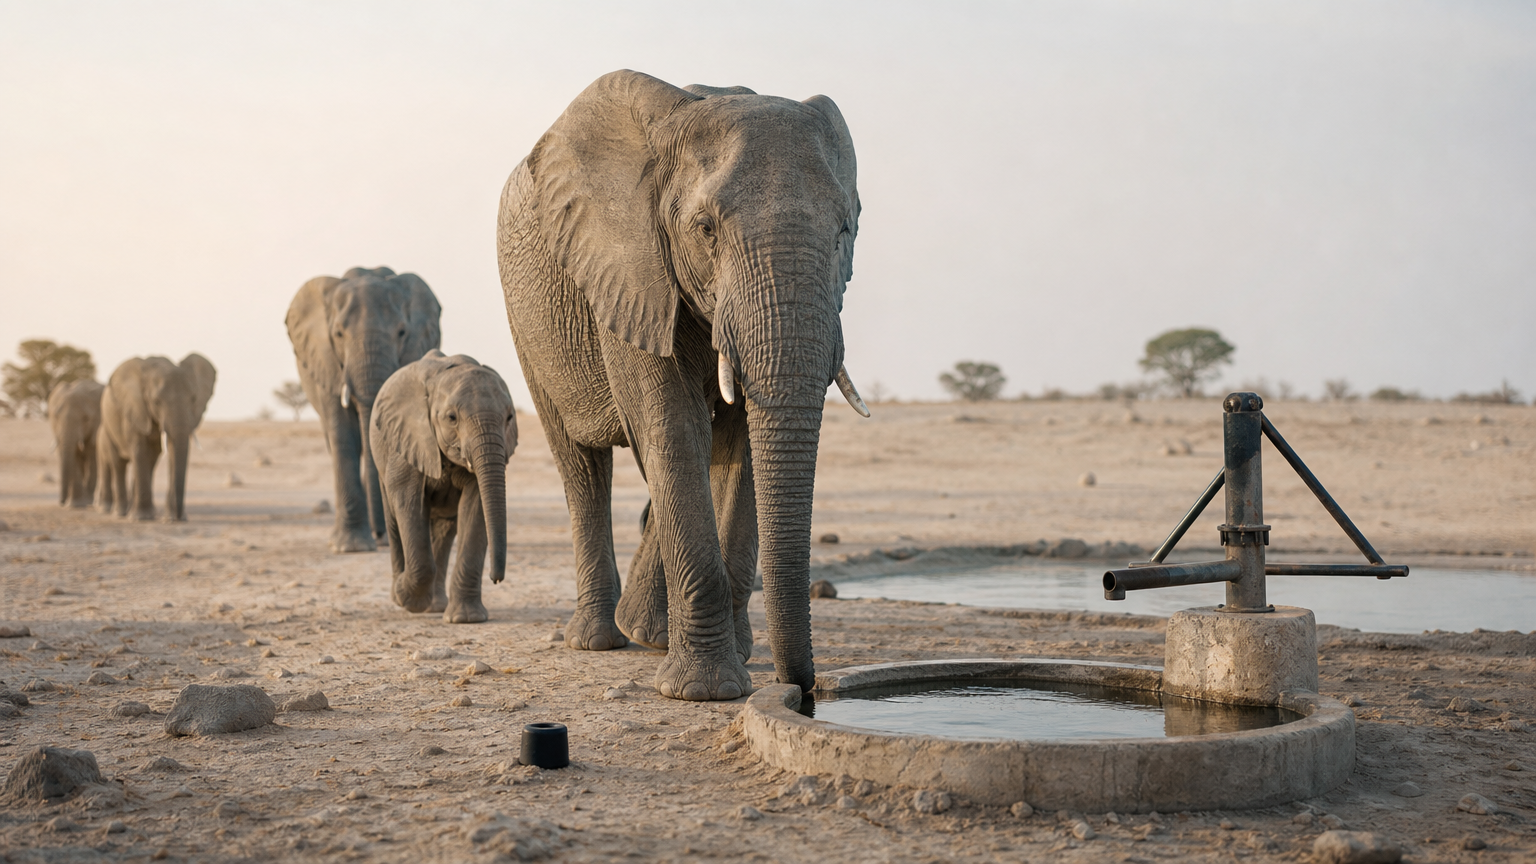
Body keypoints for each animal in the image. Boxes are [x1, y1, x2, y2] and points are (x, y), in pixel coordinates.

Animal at [48, 378, 104, 508]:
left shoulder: (97, 425)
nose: (61, 502)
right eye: (56, 416)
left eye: (86, 419)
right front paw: (75, 504)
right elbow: (72, 456)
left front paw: (84, 502)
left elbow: (92, 455)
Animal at [97, 354, 217, 521]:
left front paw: (169, 518)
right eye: (156, 402)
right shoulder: (136, 409)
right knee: (118, 463)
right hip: (108, 428)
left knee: (148, 460)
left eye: (193, 399)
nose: (179, 517)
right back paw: (121, 513)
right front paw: (141, 518)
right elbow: (140, 451)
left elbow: (164, 452)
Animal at [285, 267, 442, 553]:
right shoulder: (327, 364)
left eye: (402, 332)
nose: (381, 534)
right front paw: (351, 547)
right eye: (338, 334)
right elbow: (343, 435)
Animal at [370, 350, 517, 623]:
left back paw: (436, 606)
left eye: (510, 417)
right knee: (394, 519)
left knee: (444, 531)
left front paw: (466, 619)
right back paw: (400, 595)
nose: (496, 579)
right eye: (452, 418)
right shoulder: (408, 439)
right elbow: (409, 503)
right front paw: (407, 599)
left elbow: (476, 507)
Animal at [496, 70, 867, 701]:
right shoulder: (629, 269)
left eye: (845, 230)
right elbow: (670, 425)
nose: (806, 693)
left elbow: (740, 441)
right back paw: (601, 639)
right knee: (582, 465)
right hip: (527, 318)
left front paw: (730, 661)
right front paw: (705, 691)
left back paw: (647, 632)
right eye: (705, 229)